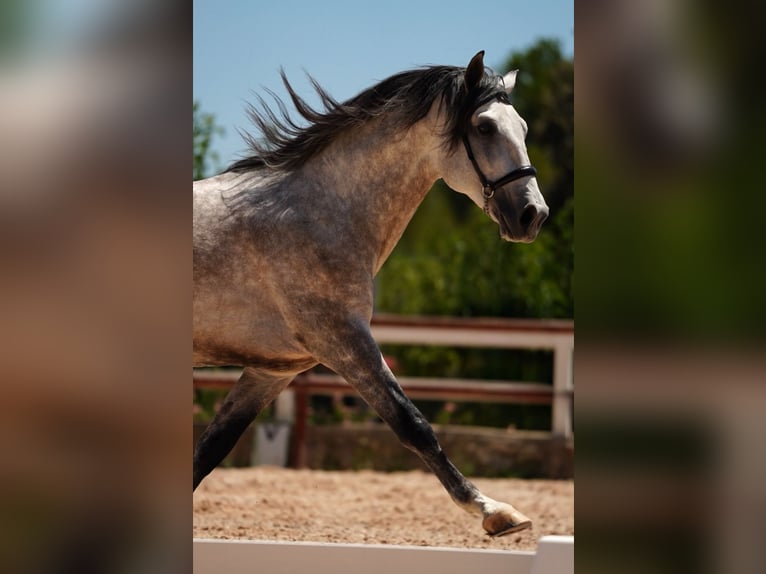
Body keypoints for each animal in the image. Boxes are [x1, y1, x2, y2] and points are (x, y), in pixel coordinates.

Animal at [193, 51, 549, 537]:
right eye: (484, 128)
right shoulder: (344, 341)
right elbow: (412, 423)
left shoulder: (274, 370)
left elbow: (211, 449)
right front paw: (496, 513)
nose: (534, 215)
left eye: (525, 128)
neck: (320, 213)